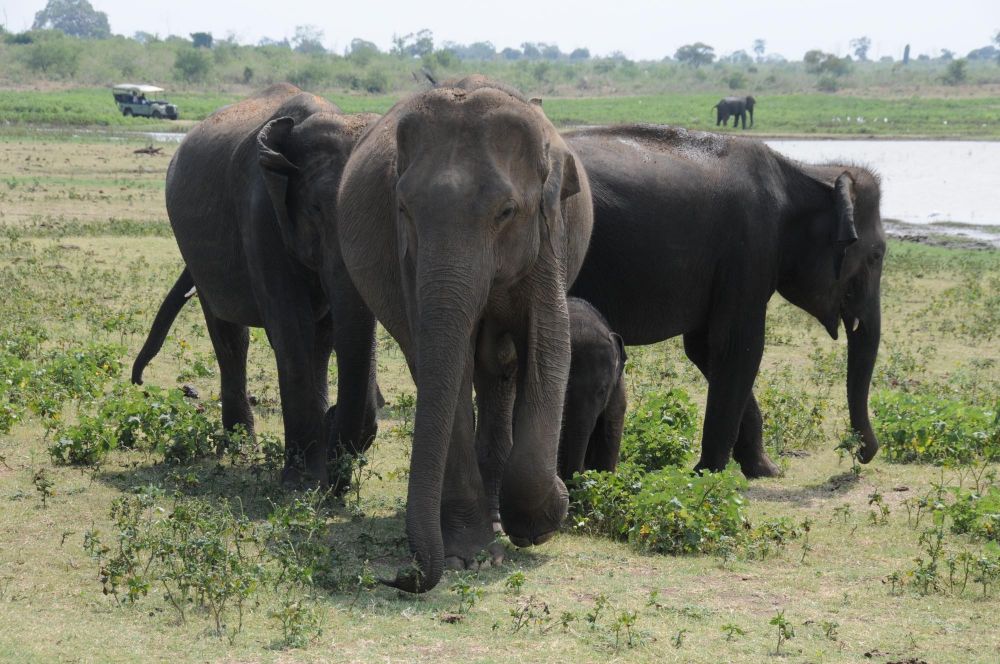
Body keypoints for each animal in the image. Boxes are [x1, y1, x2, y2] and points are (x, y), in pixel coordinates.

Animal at [131, 83, 380, 488]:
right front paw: (299, 482)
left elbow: (326, 332)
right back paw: (240, 448)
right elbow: (291, 328)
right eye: (315, 210)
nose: (138, 381)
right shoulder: (261, 214)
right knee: (230, 335)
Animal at [338, 76, 592, 592]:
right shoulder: (406, 259)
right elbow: (439, 365)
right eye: (402, 208)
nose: (404, 578)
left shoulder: (547, 237)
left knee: (502, 370)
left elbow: (550, 347)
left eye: (507, 211)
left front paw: (540, 522)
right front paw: (468, 557)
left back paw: (498, 514)